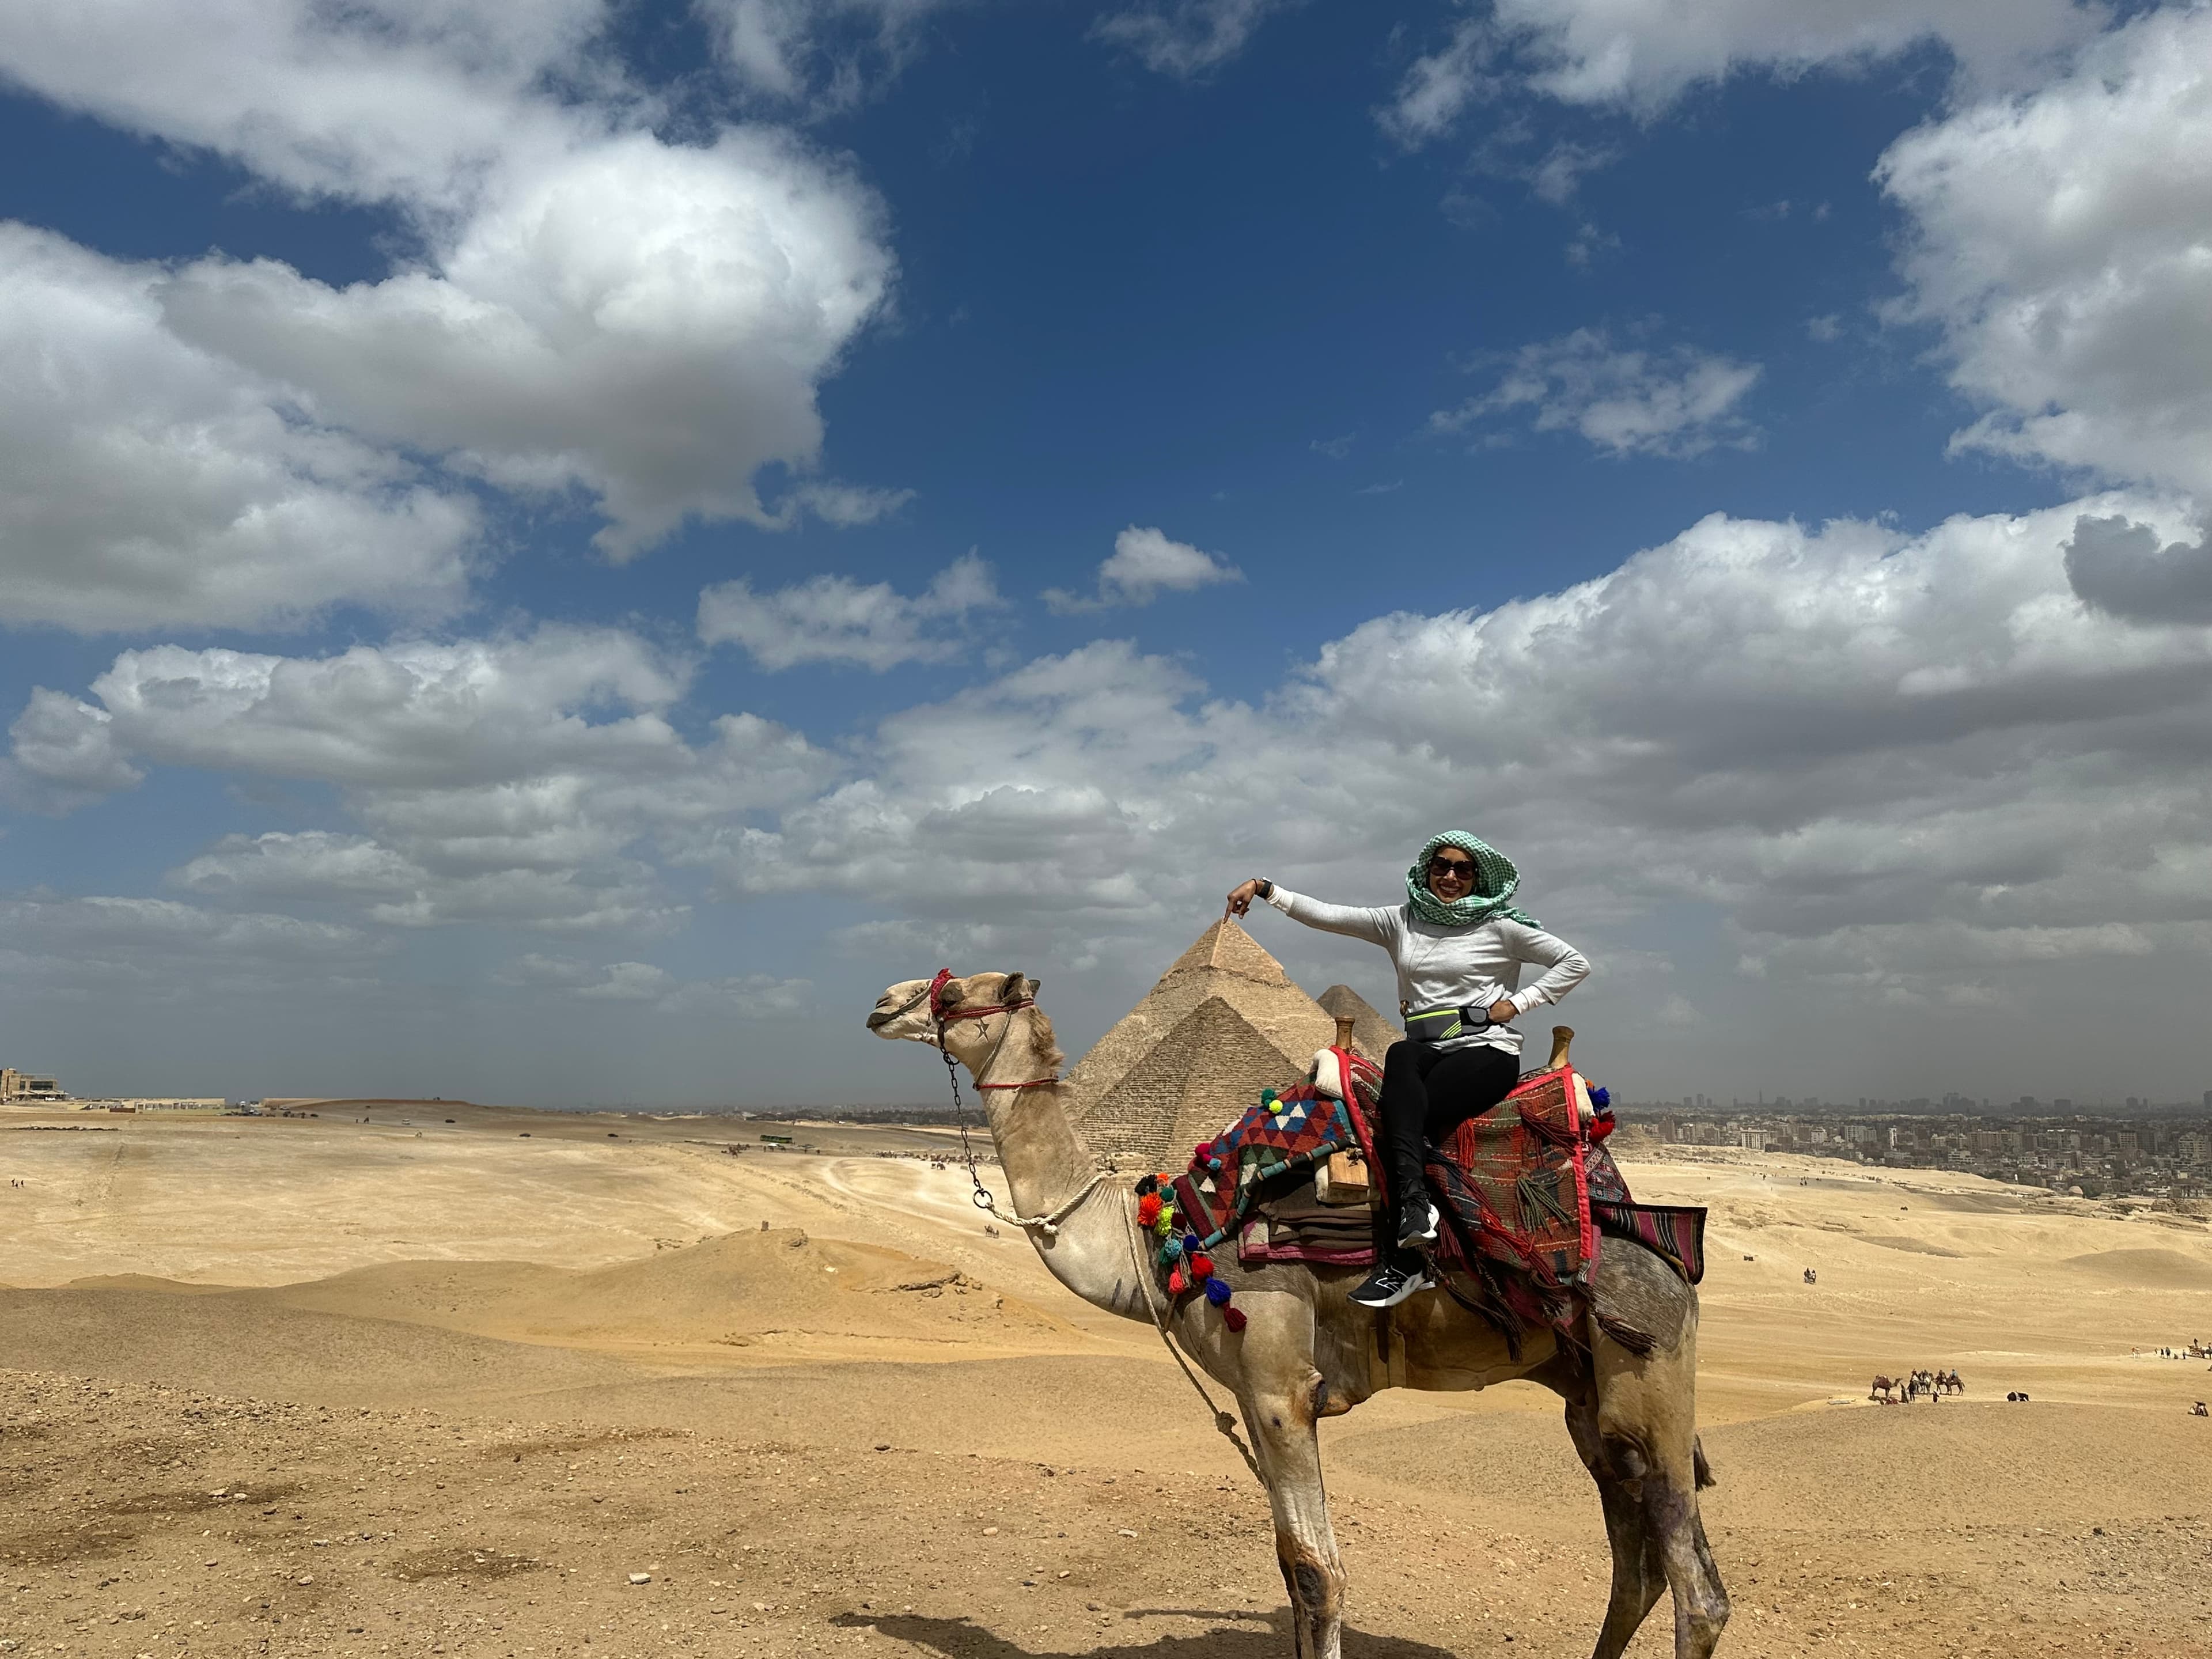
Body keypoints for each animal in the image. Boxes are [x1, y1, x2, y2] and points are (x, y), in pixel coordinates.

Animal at [868, 971, 1729, 1659]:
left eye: (955, 994)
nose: (881, 1004)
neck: (1164, 1234)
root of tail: (1669, 1248)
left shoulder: (1280, 1388)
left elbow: (1319, 1574)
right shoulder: (1253, 1400)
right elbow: (1291, 1569)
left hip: (1647, 1368)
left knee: (1698, 1592)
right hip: (1589, 1400)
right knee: (1640, 1570)